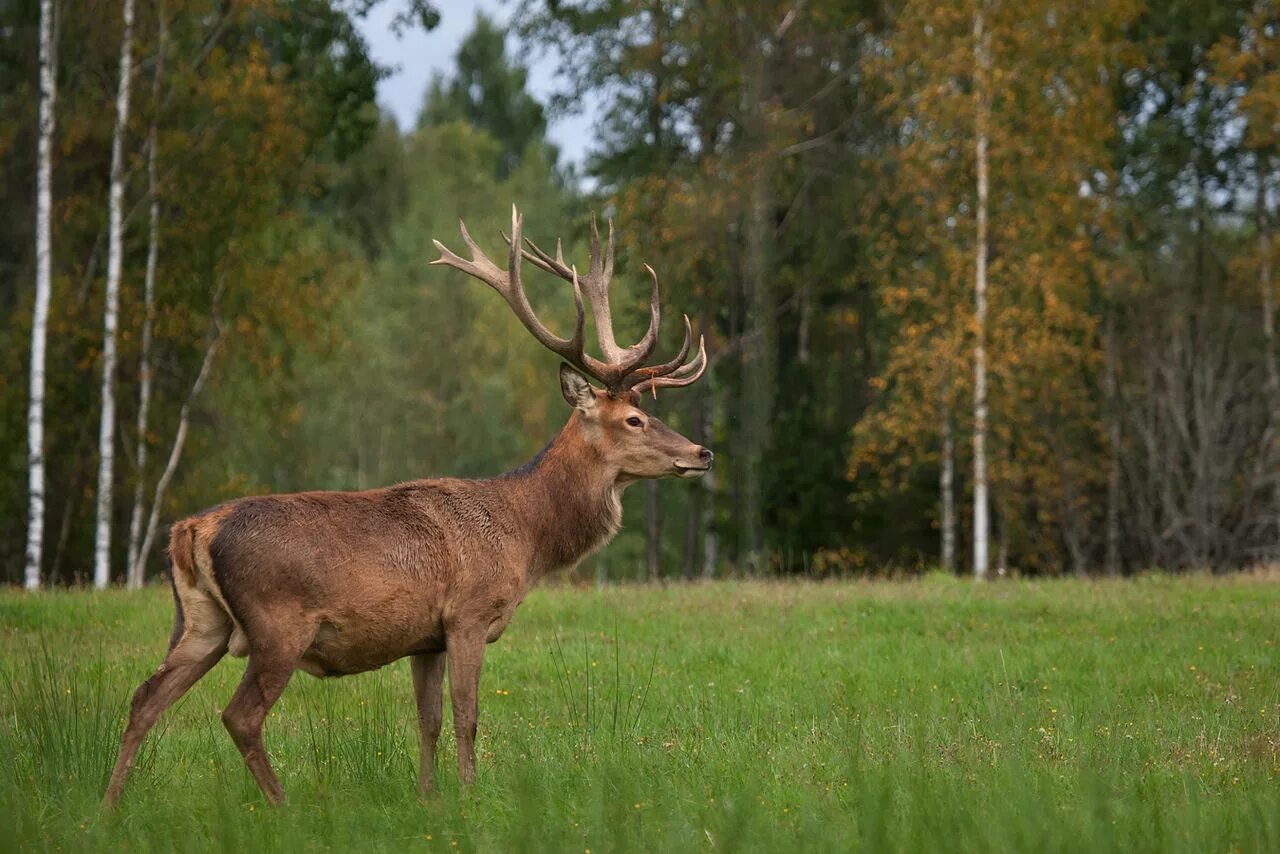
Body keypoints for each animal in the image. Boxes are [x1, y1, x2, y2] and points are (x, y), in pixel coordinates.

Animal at [101, 207, 716, 809]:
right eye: (634, 420)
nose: (702, 453)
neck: (526, 537)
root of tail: (191, 531)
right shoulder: (469, 614)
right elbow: (468, 716)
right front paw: (470, 796)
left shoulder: (426, 636)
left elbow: (429, 721)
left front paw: (429, 798)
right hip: (277, 624)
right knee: (240, 715)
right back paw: (281, 807)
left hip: (199, 620)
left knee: (145, 697)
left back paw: (110, 807)